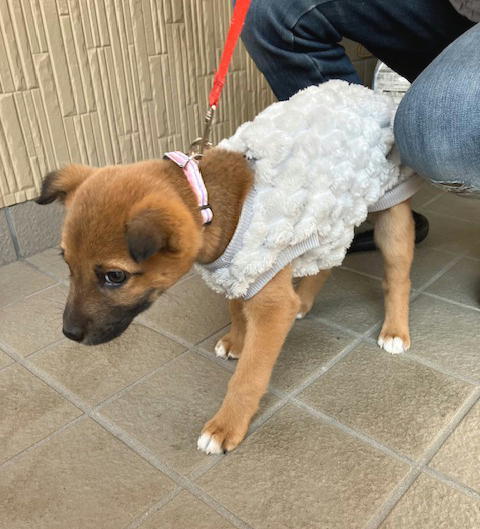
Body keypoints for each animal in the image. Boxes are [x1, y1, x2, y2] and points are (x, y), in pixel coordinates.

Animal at [36, 81, 416, 455]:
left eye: (115, 276)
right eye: (66, 263)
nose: (69, 333)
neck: (211, 205)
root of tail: (370, 95)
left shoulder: (268, 298)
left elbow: (249, 375)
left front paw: (226, 426)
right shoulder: (237, 269)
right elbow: (235, 306)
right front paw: (236, 340)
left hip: (390, 214)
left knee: (398, 278)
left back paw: (395, 330)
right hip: (330, 216)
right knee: (325, 263)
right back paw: (304, 302)